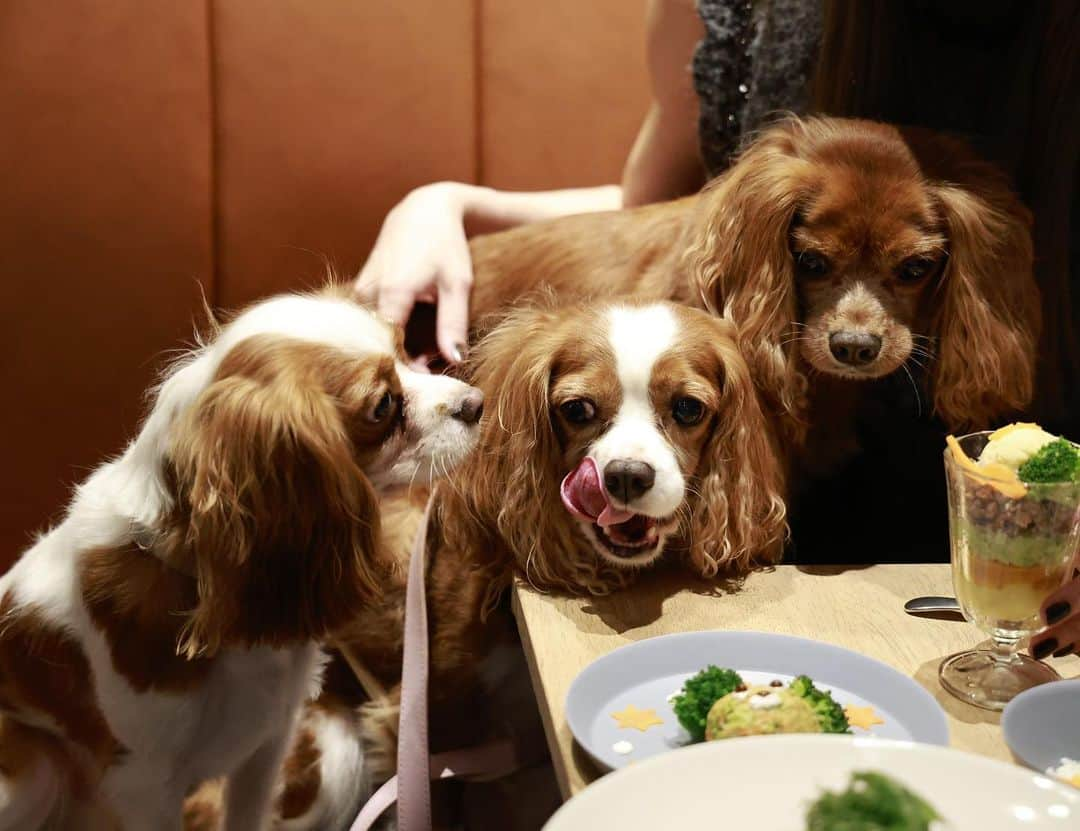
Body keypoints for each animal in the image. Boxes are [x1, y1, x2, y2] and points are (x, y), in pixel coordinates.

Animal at [0, 291, 481, 829]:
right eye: (383, 405)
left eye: (404, 349)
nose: (476, 403)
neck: (199, 588)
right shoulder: (143, 787)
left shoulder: (268, 741)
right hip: (35, 773)